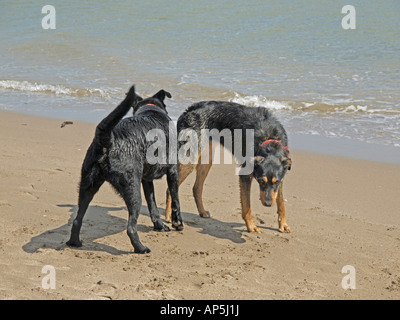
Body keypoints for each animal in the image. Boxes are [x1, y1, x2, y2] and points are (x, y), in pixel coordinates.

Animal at [67, 86, 183, 254]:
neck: (150, 108)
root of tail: (109, 140)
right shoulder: (173, 171)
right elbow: (175, 199)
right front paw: (178, 223)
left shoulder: (146, 180)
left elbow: (152, 205)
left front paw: (159, 225)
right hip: (132, 189)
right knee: (131, 228)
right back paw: (141, 248)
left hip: (87, 185)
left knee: (77, 219)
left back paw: (74, 242)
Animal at [164, 101, 292, 234]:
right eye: (261, 181)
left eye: (276, 182)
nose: (267, 204)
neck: (269, 140)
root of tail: (187, 111)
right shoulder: (245, 175)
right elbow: (247, 205)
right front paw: (251, 226)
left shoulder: (280, 179)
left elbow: (281, 202)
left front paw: (283, 224)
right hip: (190, 159)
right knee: (171, 189)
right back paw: (169, 216)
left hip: (206, 160)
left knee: (197, 188)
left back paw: (202, 212)